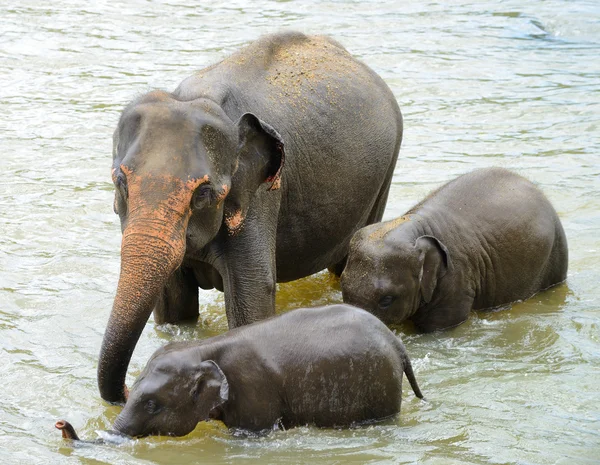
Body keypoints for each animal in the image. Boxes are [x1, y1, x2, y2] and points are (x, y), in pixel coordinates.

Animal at [56, 302, 422, 436]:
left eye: (152, 405)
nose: (61, 423)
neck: (203, 349)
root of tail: (396, 342)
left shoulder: (254, 390)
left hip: (380, 389)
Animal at [99, 31, 404, 402]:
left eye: (203, 193)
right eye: (120, 181)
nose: (129, 388)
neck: (195, 99)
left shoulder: (260, 195)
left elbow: (252, 298)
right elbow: (173, 303)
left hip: (384, 173)